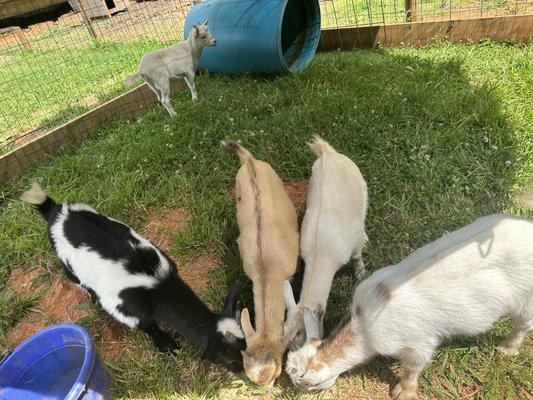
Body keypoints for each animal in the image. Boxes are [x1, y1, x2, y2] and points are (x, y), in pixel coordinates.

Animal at [20, 183, 245, 370]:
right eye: (227, 358)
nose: (244, 372)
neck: (159, 286)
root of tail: (55, 212)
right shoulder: (123, 307)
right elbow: (147, 325)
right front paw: (168, 346)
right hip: (68, 265)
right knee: (81, 283)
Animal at [282, 137, 366, 346]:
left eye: (300, 334)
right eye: (283, 329)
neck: (320, 255)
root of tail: (327, 153)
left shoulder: (353, 241)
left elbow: (357, 255)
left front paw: (361, 273)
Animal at [286, 212, 532, 396]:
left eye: (310, 385)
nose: (293, 390)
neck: (362, 326)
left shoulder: (418, 343)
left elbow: (413, 367)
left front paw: (404, 392)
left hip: (525, 298)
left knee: (524, 324)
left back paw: (507, 349)